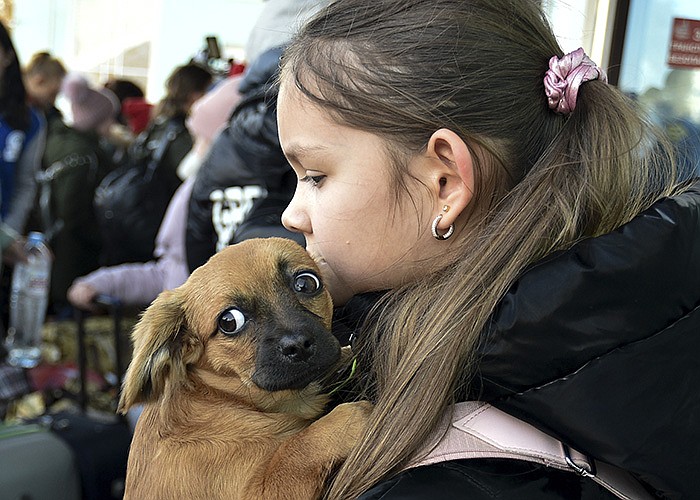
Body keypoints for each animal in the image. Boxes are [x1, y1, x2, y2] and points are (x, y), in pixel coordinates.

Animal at [119, 239, 372, 500]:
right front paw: (346, 421)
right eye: (229, 322)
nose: (298, 345)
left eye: (306, 283)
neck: (223, 398)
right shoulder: (257, 492)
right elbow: (295, 449)